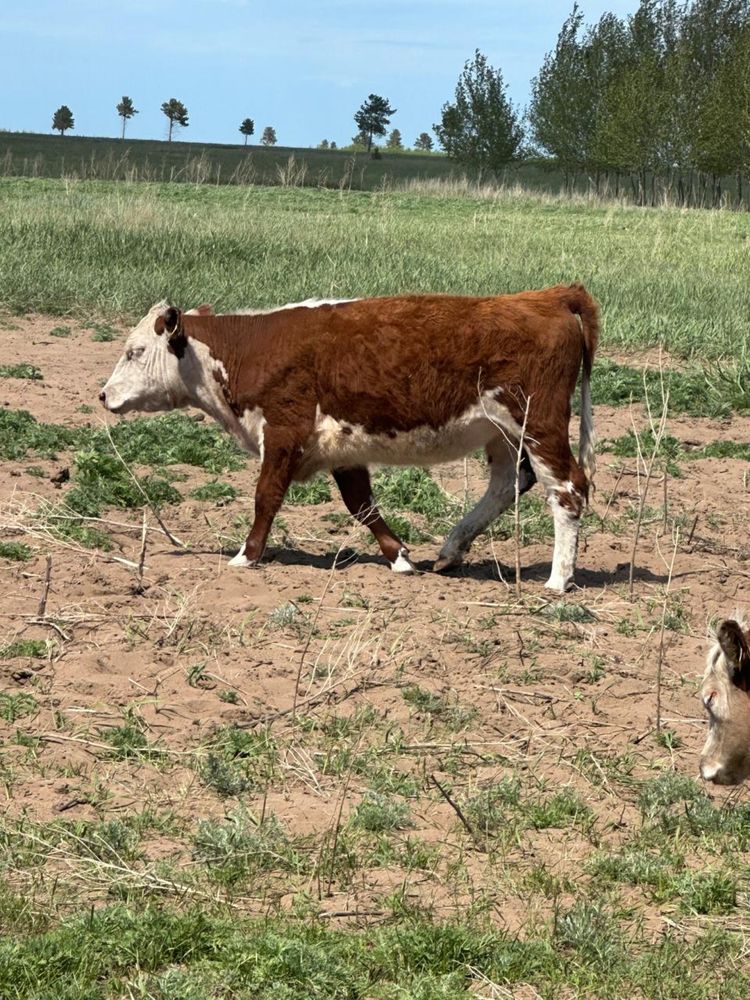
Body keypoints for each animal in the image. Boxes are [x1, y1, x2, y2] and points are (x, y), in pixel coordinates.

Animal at [101, 284, 604, 592]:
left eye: (135, 351)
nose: (104, 395)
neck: (251, 348)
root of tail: (549, 297)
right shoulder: (341, 448)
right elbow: (362, 505)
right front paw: (399, 556)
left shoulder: (282, 434)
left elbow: (266, 496)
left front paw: (247, 555)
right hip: (501, 434)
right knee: (508, 484)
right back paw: (451, 550)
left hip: (539, 424)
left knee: (567, 488)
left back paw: (558, 579)